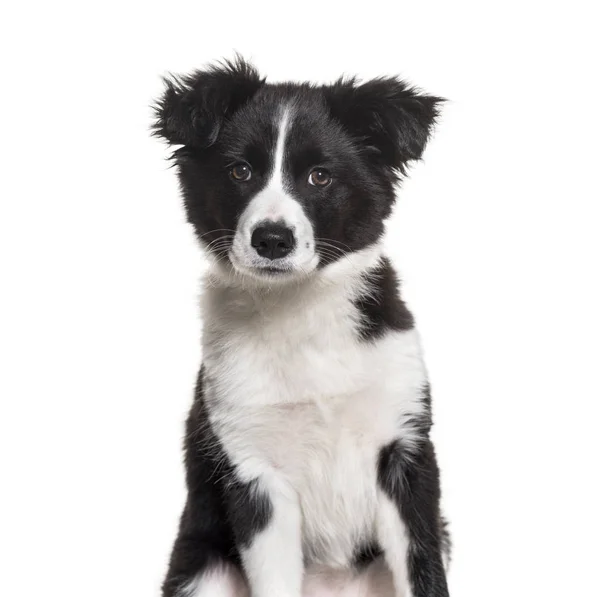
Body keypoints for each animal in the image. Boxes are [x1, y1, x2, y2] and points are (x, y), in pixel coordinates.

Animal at [155, 57, 450, 596]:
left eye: (320, 177)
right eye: (240, 171)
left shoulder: (405, 451)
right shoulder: (254, 472)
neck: (299, 309)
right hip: (201, 571)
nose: (272, 239)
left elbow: (424, 573)